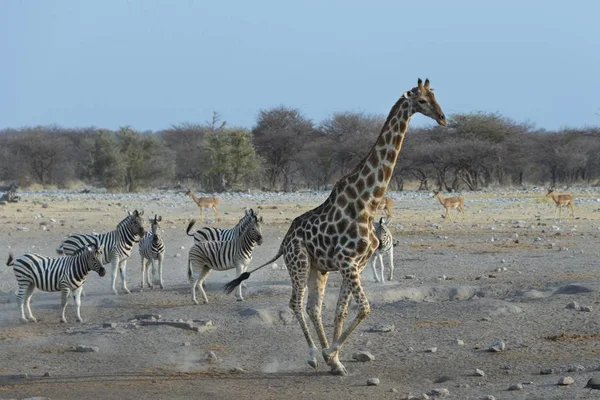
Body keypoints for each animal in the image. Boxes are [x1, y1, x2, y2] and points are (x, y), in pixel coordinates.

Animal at [224, 78, 446, 376]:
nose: (443, 118)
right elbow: (364, 308)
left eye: (434, 96)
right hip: (299, 261)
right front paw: (330, 353)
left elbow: (342, 310)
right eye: (421, 100)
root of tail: (284, 240)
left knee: (313, 307)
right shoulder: (347, 262)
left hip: (317, 268)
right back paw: (312, 355)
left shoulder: (355, 265)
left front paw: (336, 360)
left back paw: (324, 357)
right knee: (296, 303)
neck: (367, 203)